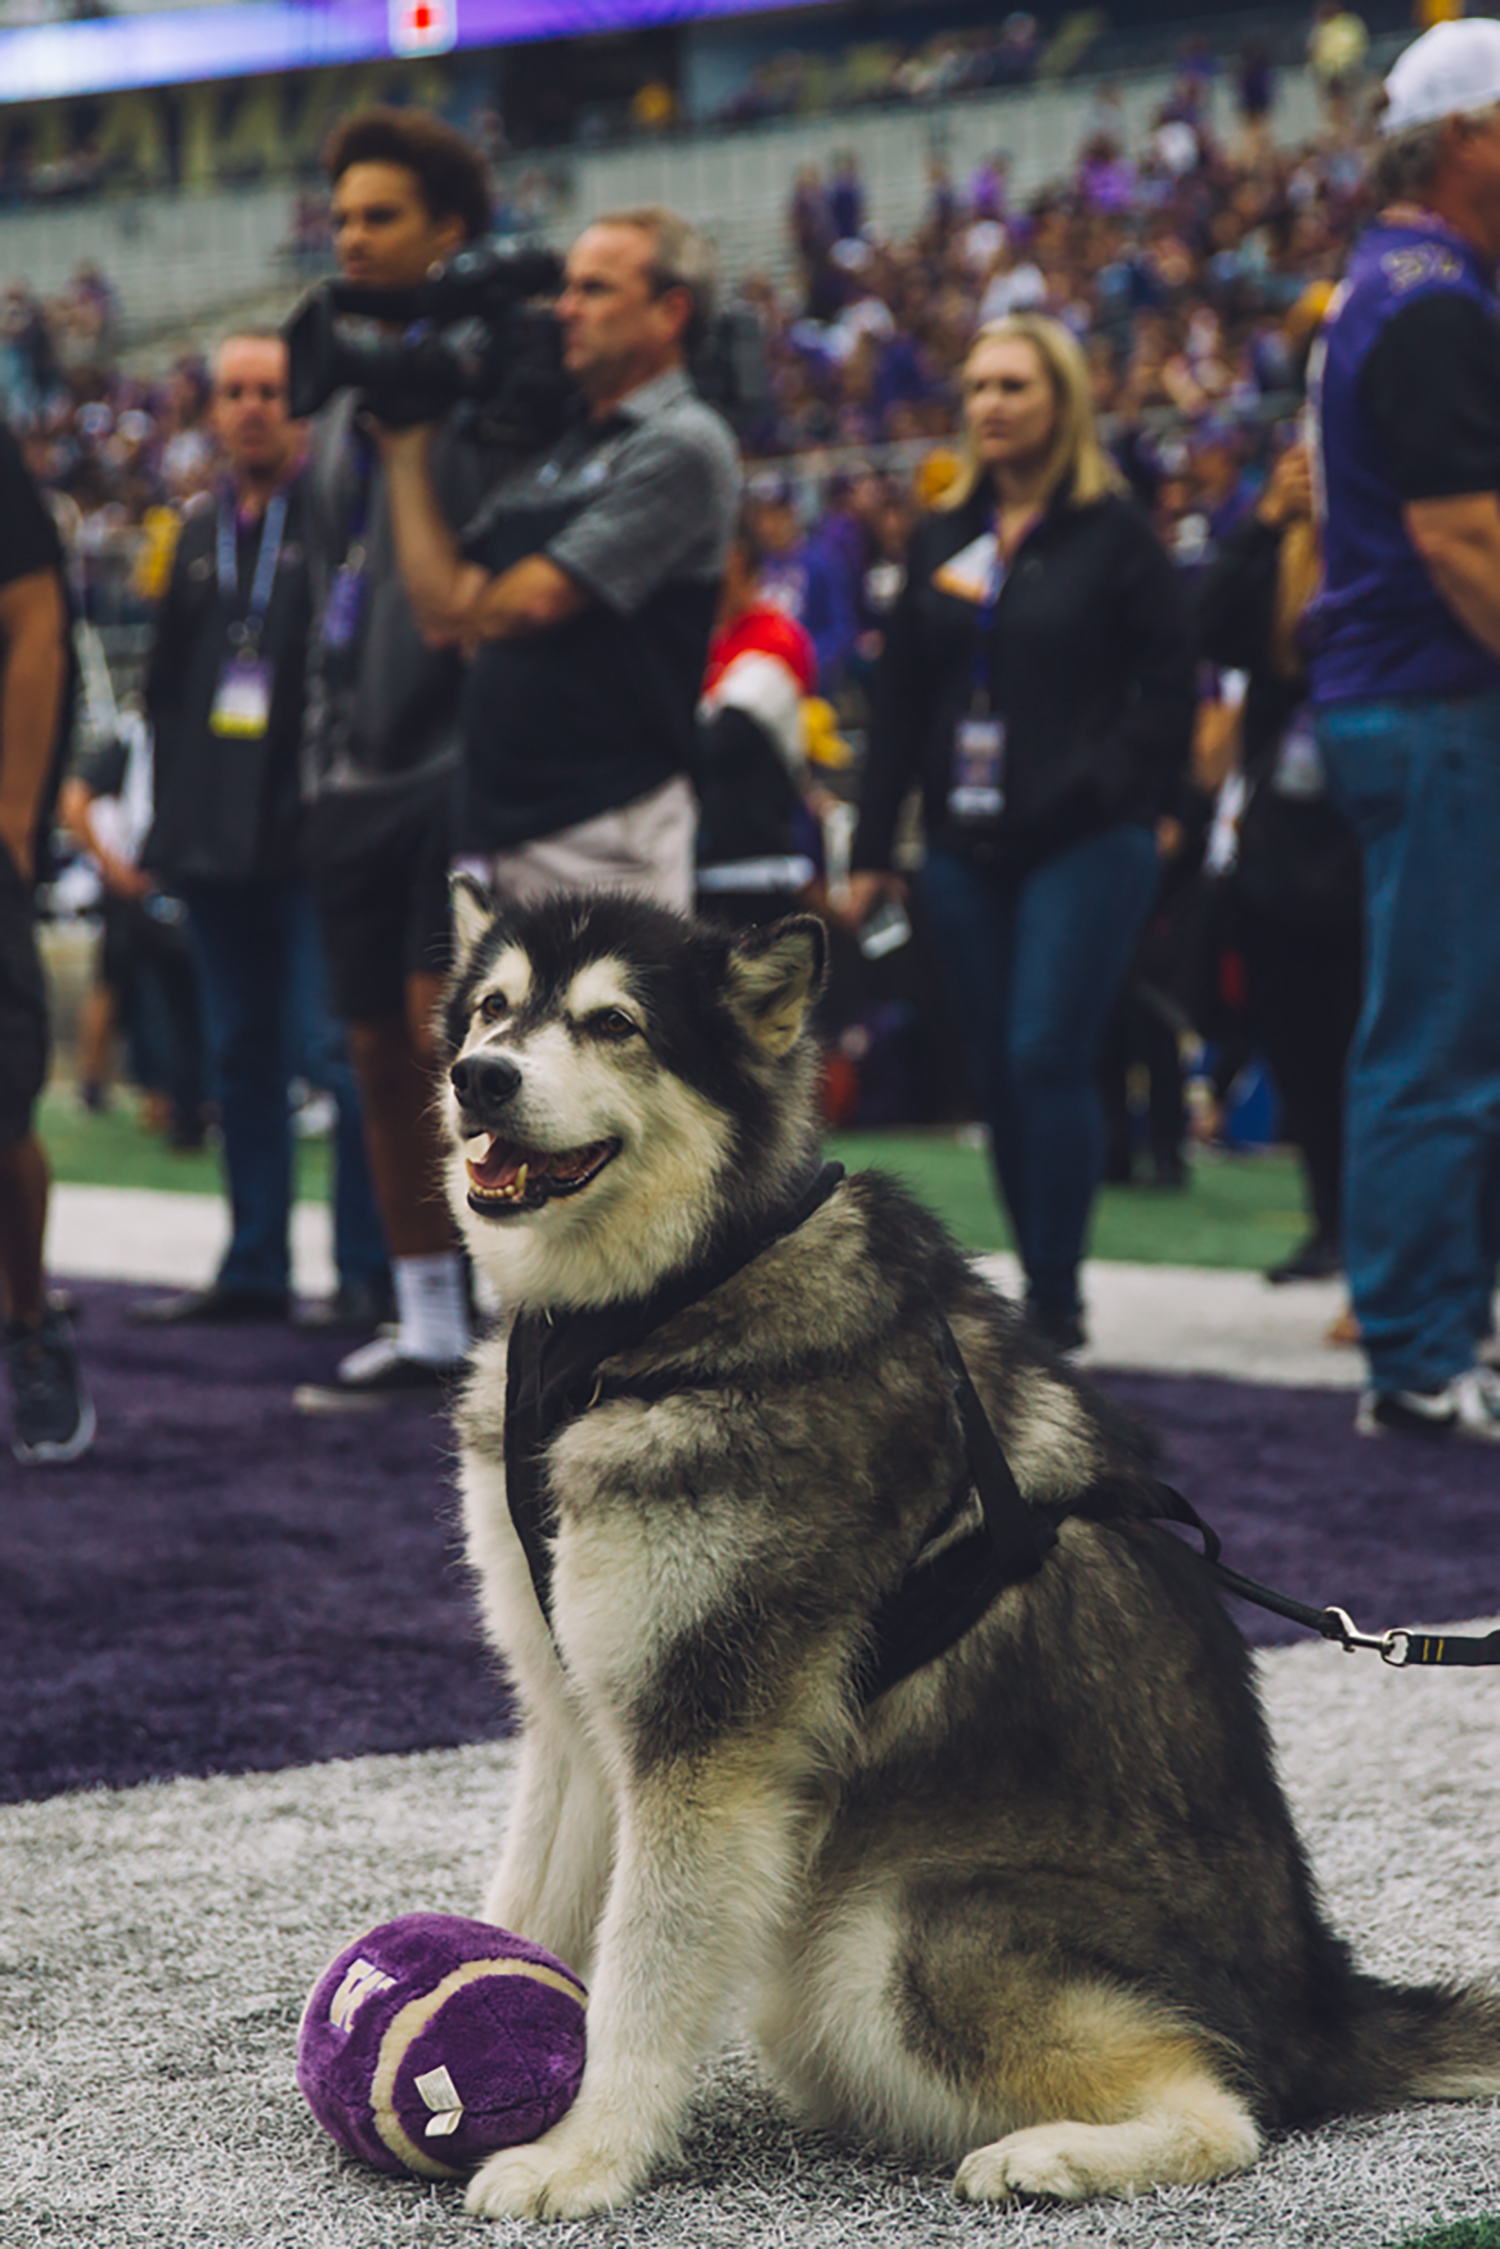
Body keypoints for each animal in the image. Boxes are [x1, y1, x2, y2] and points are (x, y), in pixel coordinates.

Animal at [440, 886, 1500, 2222]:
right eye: (492, 1008)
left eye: (613, 1021)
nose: (480, 1077)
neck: (667, 1295)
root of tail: (1325, 2005)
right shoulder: (573, 1707)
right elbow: (526, 1910)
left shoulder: (709, 1740)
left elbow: (643, 1968)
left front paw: (585, 2153)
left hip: (881, 1937)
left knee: (1230, 2109)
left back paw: (1052, 2152)